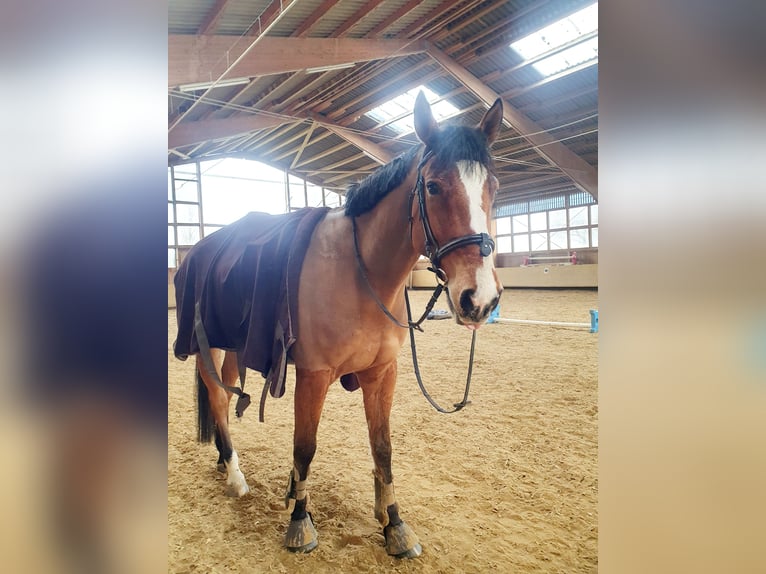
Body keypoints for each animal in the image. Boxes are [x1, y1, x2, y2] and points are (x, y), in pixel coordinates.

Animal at [173, 91, 504, 558]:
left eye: (494, 187)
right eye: (434, 186)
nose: (480, 299)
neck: (361, 273)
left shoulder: (382, 373)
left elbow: (382, 447)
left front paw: (394, 524)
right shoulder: (313, 375)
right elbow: (305, 447)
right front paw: (299, 520)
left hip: (236, 345)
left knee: (226, 387)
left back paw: (224, 459)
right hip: (205, 344)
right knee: (219, 400)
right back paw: (235, 475)